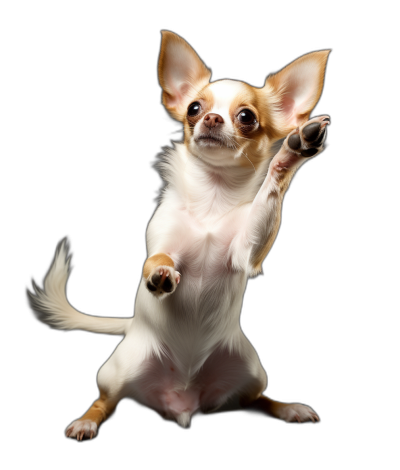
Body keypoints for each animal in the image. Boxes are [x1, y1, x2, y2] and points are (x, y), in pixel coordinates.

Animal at [27, 31, 328, 438]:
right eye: (194, 108)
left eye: (246, 117)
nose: (212, 118)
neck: (211, 200)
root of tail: (183, 400)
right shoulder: (162, 240)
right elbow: (157, 258)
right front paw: (159, 275)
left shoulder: (247, 251)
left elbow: (270, 189)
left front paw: (294, 151)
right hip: (117, 372)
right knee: (105, 402)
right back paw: (86, 422)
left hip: (252, 370)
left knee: (254, 400)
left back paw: (288, 408)